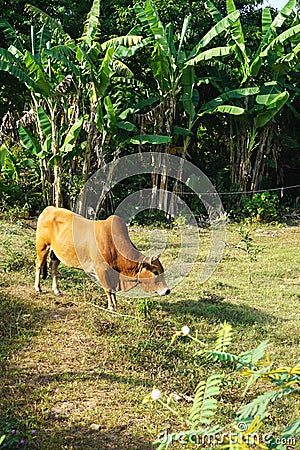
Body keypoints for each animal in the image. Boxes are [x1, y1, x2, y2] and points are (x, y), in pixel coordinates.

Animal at [34, 207, 170, 310]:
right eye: (155, 272)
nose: (167, 291)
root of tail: (48, 209)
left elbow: (113, 290)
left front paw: (115, 305)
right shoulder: (101, 270)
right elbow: (108, 289)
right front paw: (111, 307)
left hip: (56, 253)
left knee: (53, 268)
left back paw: (56, 290)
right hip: (42, 247)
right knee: (39, 265)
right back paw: (38, 288)